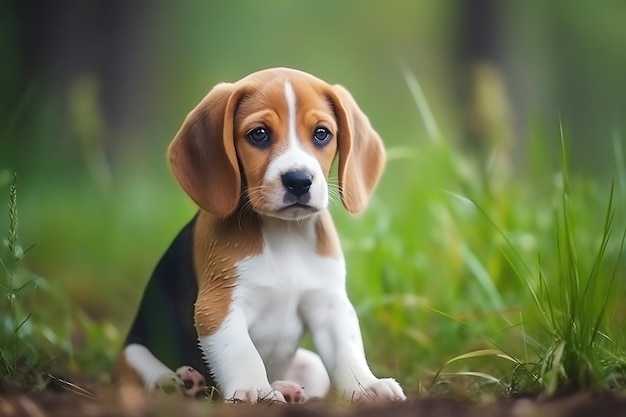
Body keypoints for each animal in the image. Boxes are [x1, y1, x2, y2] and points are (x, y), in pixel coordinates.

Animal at [112, 68, 404, 404]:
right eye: (259, 134)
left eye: (322, 134)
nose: (299, 181)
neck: (285, 233)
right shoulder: (218, 306)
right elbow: (242, 352)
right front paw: (254, 390)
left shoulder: (329, 304)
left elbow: (348, 351)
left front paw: (368, 387)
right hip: (133, 352)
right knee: (145, 375)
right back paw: (179, 383)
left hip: (312, 366)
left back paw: (286, 388)